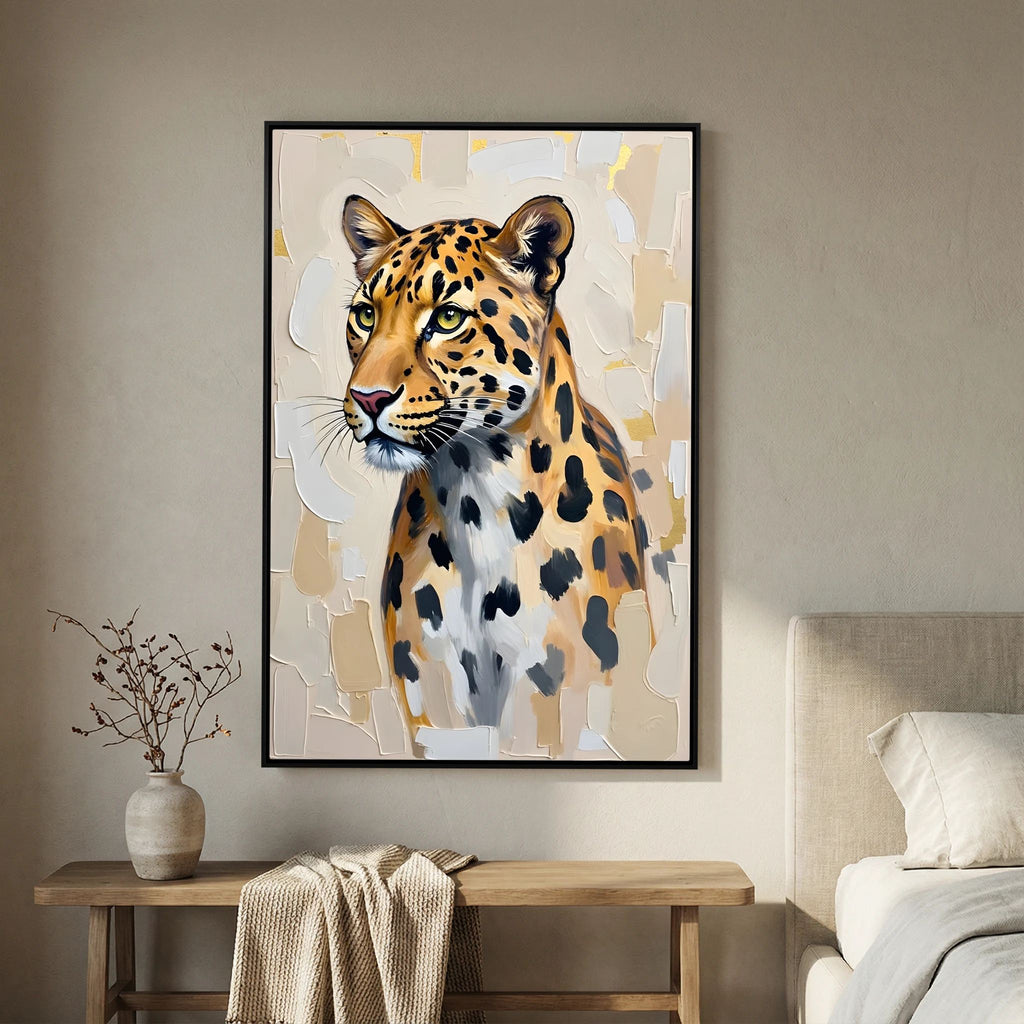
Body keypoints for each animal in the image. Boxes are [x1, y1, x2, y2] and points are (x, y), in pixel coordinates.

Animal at [339, 193, 649, 755]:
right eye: (366, 315)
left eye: (447, 317)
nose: (367, 398)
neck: (474, 495)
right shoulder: (431, 693)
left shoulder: (553, 691)